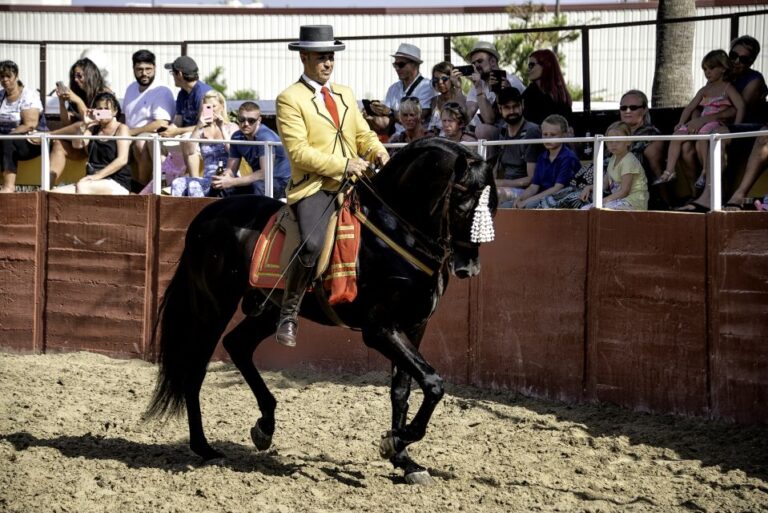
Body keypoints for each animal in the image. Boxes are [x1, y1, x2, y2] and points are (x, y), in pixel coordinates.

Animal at [145, 137, 498, 485]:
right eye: (464, 206)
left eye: (491, 206)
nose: (469, 269)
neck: (396, 233)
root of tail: (207, 215)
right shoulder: (380, 329)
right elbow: (433, 383)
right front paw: (396, 440)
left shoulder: (413, 326)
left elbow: (404, 389)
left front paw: (404, 459)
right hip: (213, 306)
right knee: (195, 369)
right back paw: (205, 448)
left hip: (268, 310)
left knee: (238, 345)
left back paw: (264, 426)